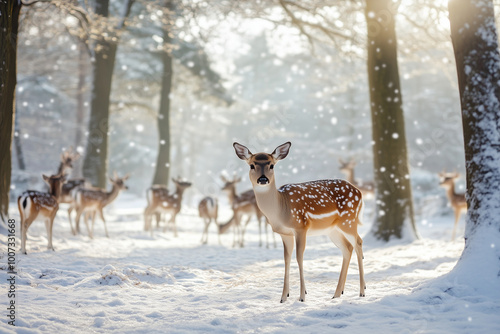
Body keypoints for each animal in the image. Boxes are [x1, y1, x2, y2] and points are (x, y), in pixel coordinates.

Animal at [232, 141, 366, 302]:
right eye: (252, 165)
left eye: (272, 165)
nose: (263, 179)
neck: (280, 210)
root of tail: (359, 192)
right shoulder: (285, 233)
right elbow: (286, 258)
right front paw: (284, 297)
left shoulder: (301, 226)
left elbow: (299, 257)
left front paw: (302, 296)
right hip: (333, 229)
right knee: (347, 248)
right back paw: (337, 293)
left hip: (349, 219)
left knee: (358, 242)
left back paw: (362, 291)